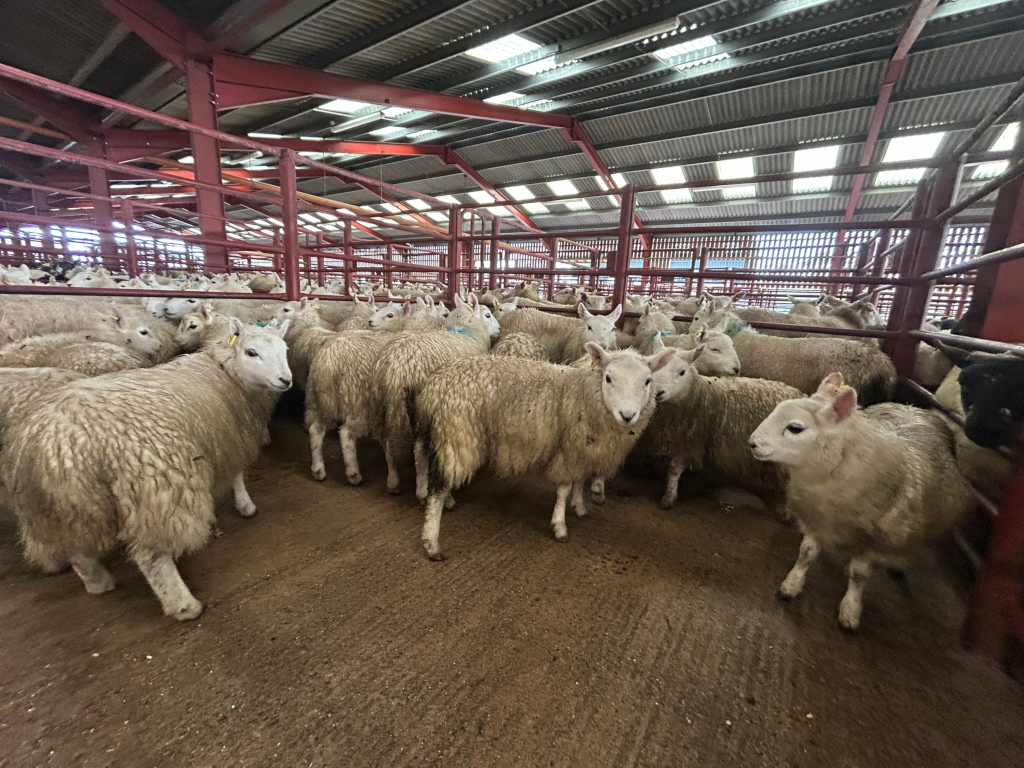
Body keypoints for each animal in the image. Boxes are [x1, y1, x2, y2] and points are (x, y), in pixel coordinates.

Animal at [0, 319, 292, 620]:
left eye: (285, 350)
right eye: (251, 352)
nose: (286, 380)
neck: (223, 370)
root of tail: (62, 443)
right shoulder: (231, 435)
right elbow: (237, 474)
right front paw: (246, 505)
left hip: (66, 504)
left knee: (78, 549)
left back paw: (98, 583)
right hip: (154, 488)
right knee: (150, 555)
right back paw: (184, 605)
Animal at [375, 304, 494, 497]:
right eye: (488, 315)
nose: (498, 329)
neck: (466, 332)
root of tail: (396, 367)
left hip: (383, 402)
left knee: (388, 442)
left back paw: (393, 482)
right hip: (419, 406)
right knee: (418, 449)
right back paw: (422, 489)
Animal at [415, 343, 675, 559]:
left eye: (648, 381)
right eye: (609, 378)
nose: (627, 415)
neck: (585, 391)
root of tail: (434, 384)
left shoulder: (582, 449)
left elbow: (580, 481)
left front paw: (579, 507)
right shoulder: (569, 448)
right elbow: (564, 488)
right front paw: (560, 526)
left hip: (437, 432)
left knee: (427, 463)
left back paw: (439, 499)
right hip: (458, 432)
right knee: (438, 487)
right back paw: (431, 542)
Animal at [638, 347, 800, 510]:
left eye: (682, 372)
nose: (658, 392)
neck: (701, 395)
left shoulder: (690, 442)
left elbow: (674, 469)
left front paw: (668, 497)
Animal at [749, 372, 974, 631]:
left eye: (795, 428)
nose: (752, 443)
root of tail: (913, 406)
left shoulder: (876, 541)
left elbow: (858, 574)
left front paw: (850, 610)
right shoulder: (817, 519)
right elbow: (806, 553)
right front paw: (791, 584)